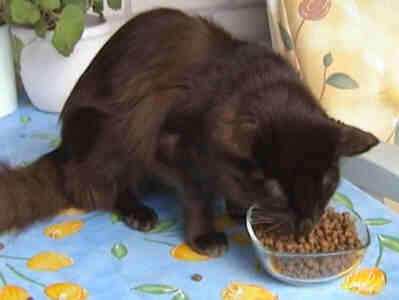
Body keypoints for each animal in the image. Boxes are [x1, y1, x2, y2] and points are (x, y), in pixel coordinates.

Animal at [0, 9, 380, 256]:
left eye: (326, 183)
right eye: (276, 188)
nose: (306, 225)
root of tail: (64, 149)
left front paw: (240, 207)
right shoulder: (167, 145)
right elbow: (197, 194)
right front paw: (206, 236)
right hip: (110, 132)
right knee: (97, 185)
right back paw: (137, 212)